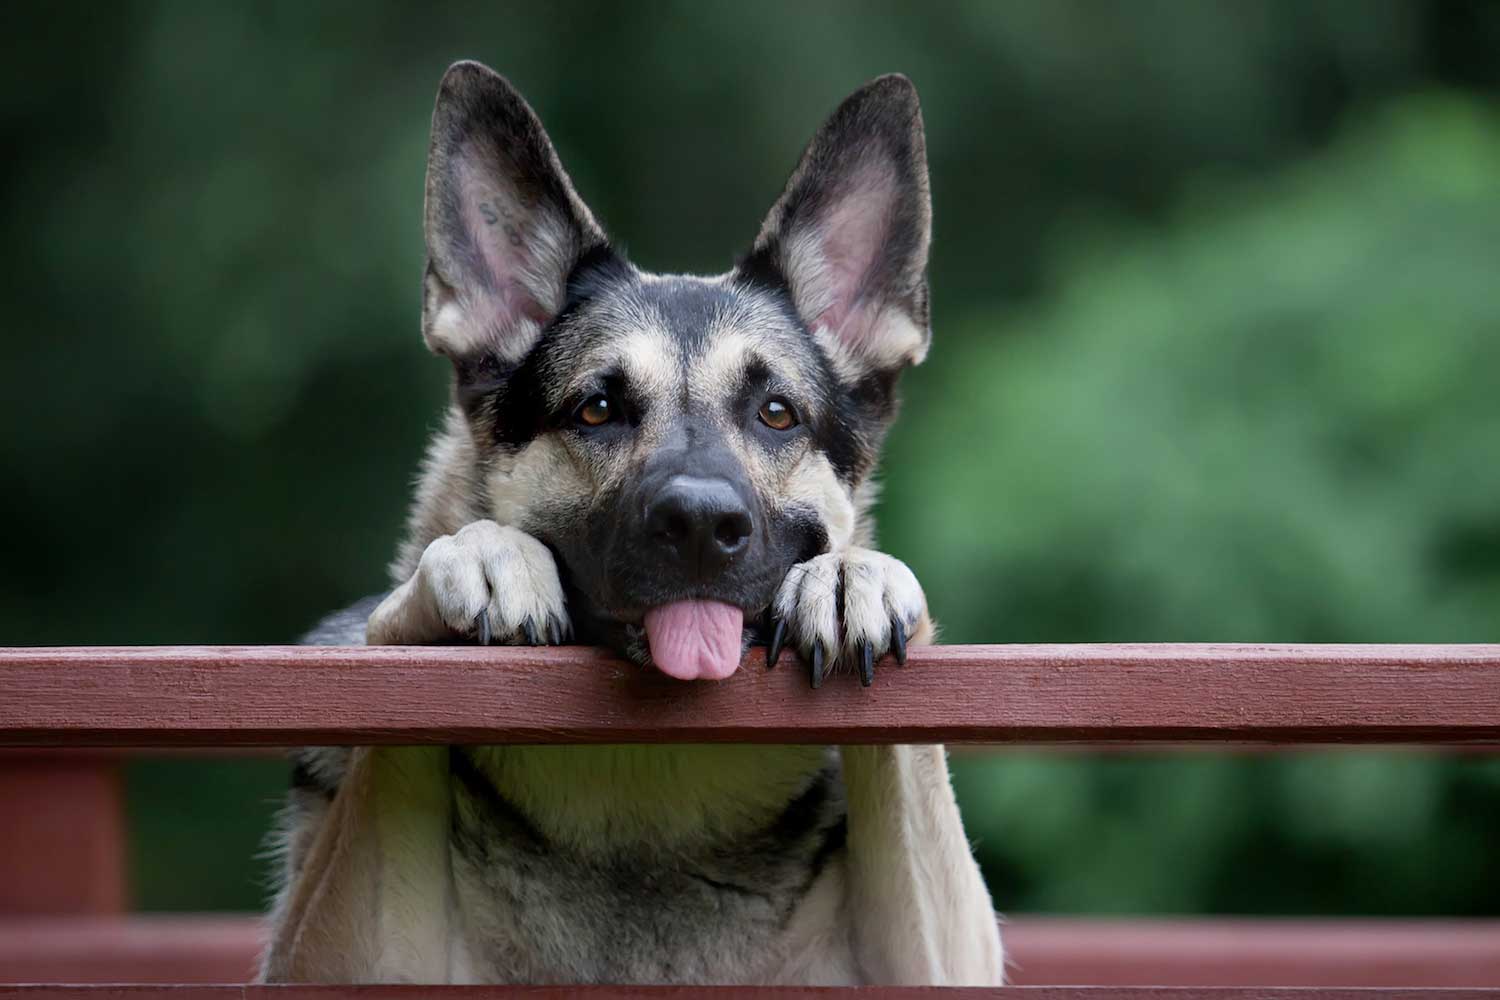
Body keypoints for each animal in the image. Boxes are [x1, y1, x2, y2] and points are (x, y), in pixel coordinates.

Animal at [262, 60, 1002, 983]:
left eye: (777, 414)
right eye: (598, 409)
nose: (700, 526)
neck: (650, 781)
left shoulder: (944, 952)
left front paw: (849, 574)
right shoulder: (339, 954)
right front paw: (479, 556)